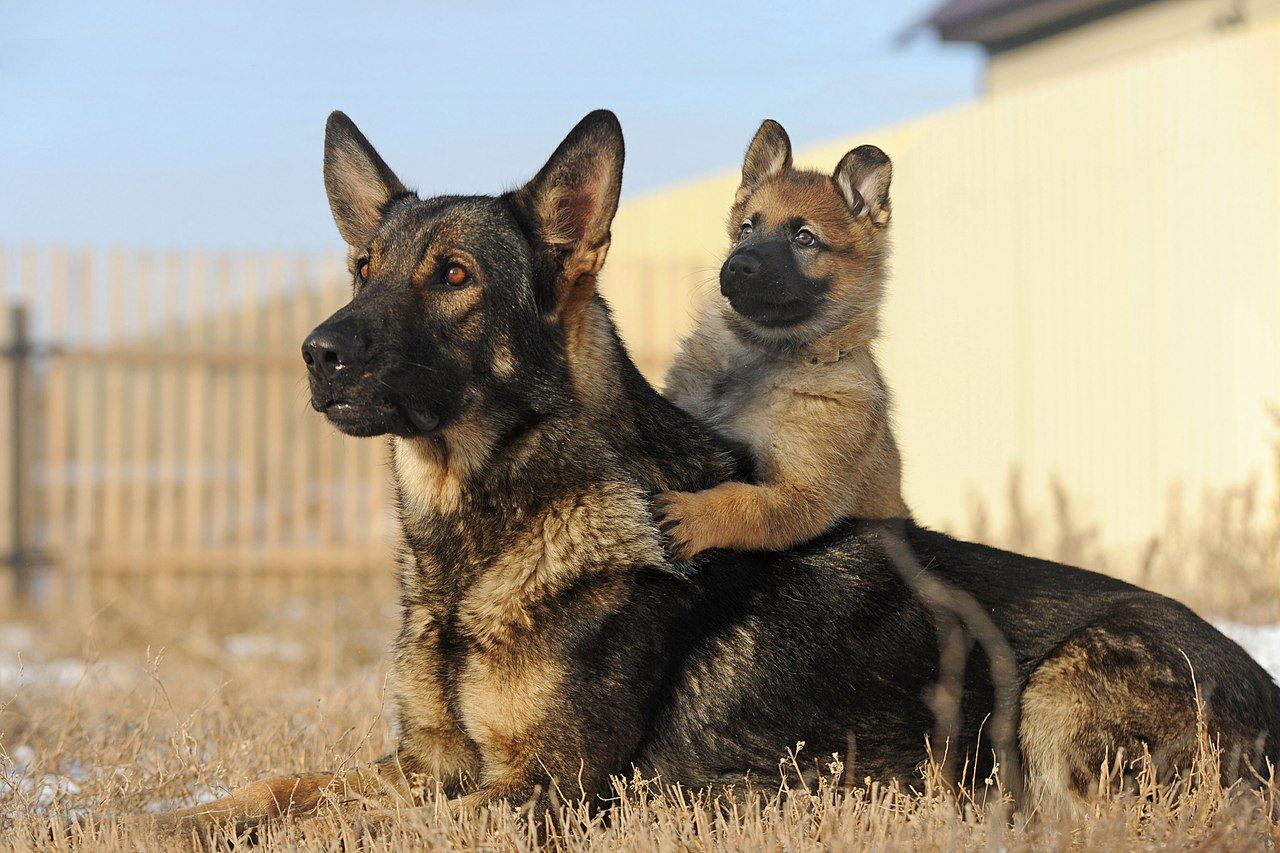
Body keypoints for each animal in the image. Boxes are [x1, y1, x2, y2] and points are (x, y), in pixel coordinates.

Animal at [660, 119, 911, 558]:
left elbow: (741, 502)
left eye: (805, 238)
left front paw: (691, 516)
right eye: (747, 229)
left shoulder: (803, 494)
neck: (766, 354)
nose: (737, 265)